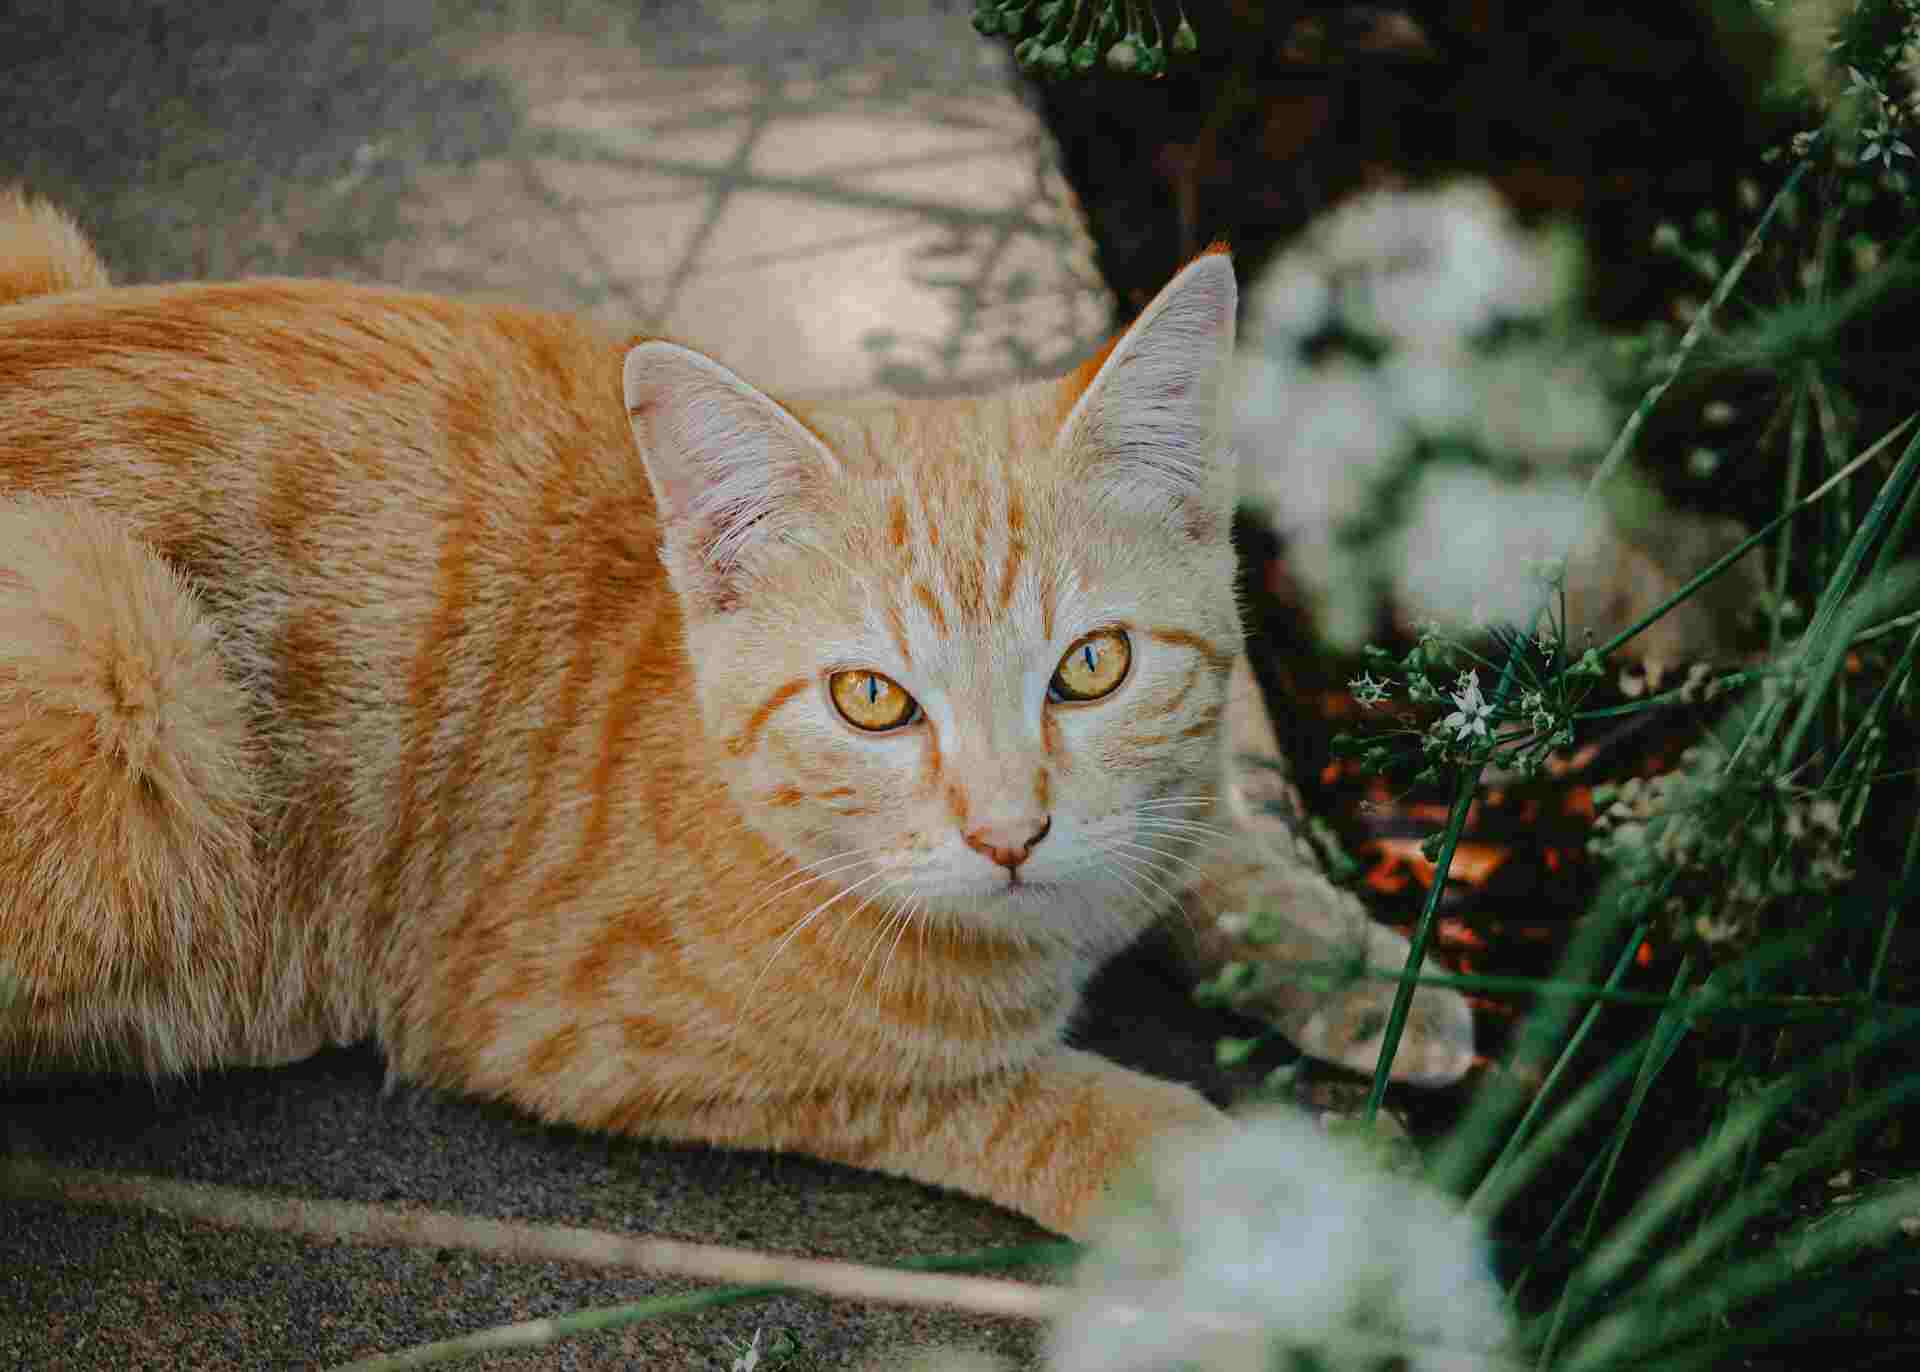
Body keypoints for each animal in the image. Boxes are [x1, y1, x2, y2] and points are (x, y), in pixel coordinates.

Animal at [0, 190, 1466, 1235]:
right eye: (872, 699)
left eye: (1092, 668)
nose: (1010, 835)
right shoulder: (579, 1035)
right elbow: (1004, 1097)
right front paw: (1292, 1200)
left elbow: (1204, 839)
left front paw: (1352, 965)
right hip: (112, 646)